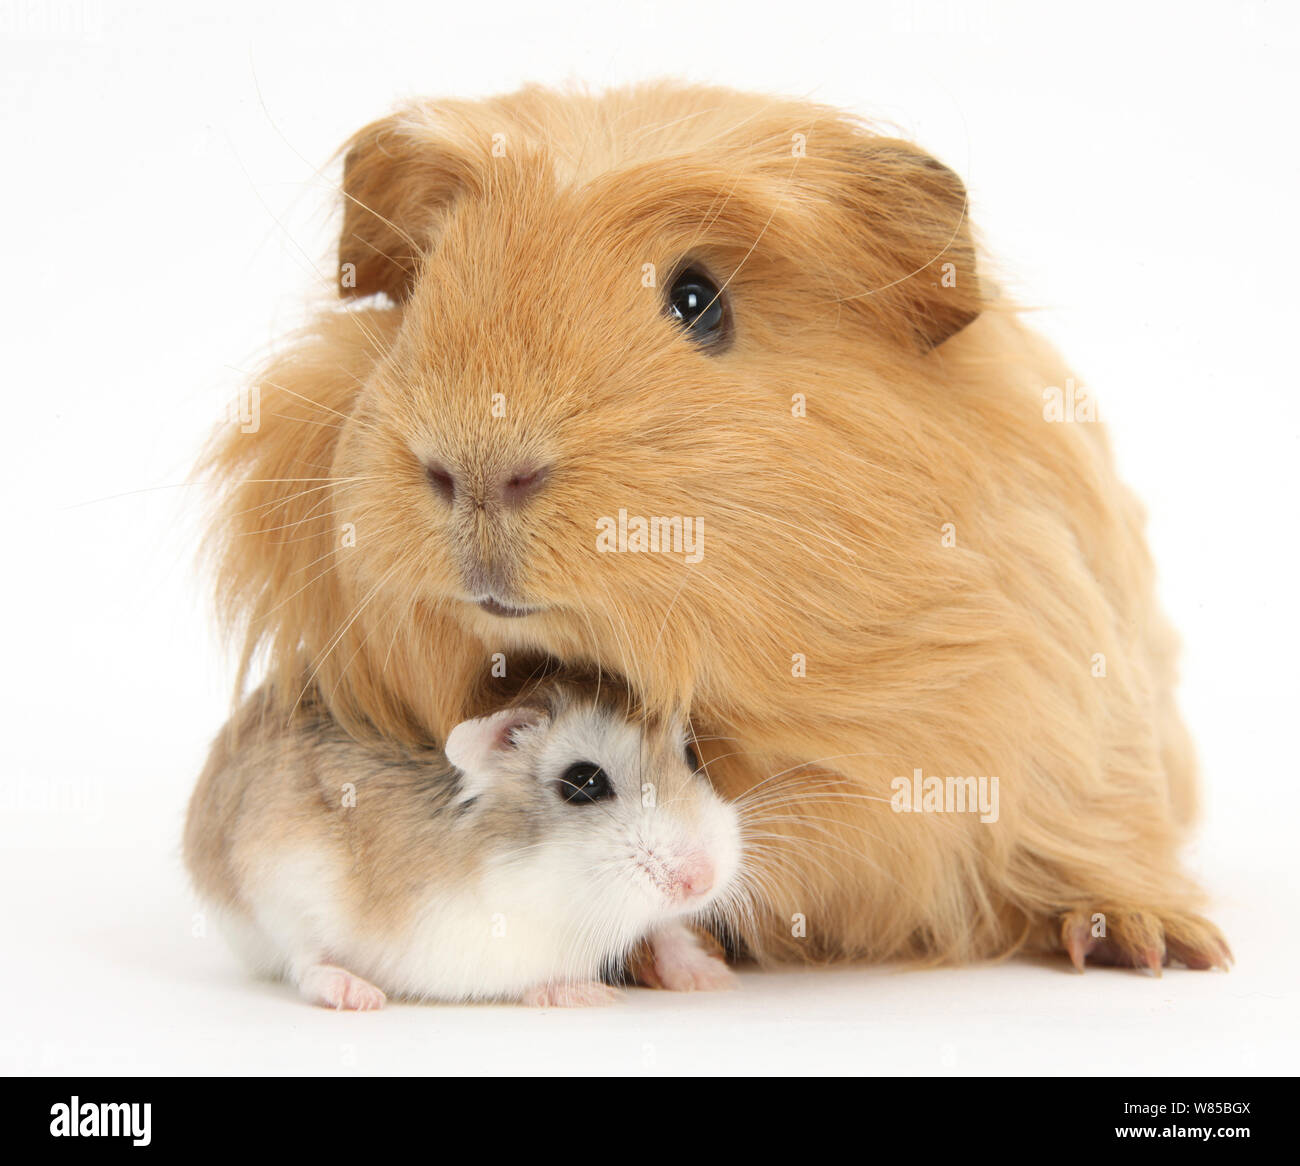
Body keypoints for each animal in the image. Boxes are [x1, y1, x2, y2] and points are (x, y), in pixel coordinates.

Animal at [188, 681, 748, 1008]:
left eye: (692, 758)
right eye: (583, 782)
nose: (702, 881)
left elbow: (664, 928)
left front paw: (711, 977)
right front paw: (587, 994)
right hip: (279, 892)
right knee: (305, 962)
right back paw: (356, 994)